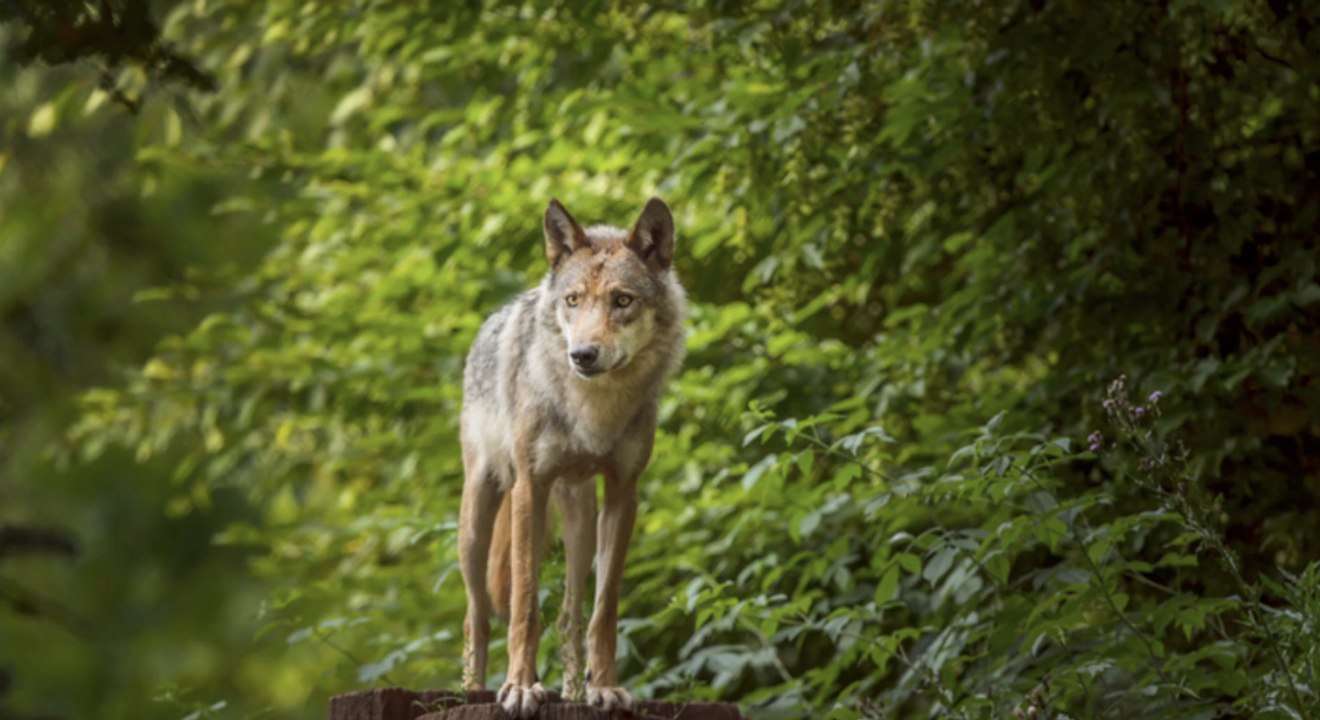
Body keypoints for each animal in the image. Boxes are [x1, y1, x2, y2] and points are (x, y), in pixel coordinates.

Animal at [457, 197, 686, 718]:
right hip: (479, 519)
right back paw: (474, 691)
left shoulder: (623, 494)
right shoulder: (530, 488)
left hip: (580, 524)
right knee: (477, 615)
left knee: (568, 615)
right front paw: (520, 688)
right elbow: (524, 605)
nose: (582, 354)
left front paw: (606, 688)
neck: (593, 411)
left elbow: (603, 611)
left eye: (622, 301)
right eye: (573, 300)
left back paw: (574, 694)